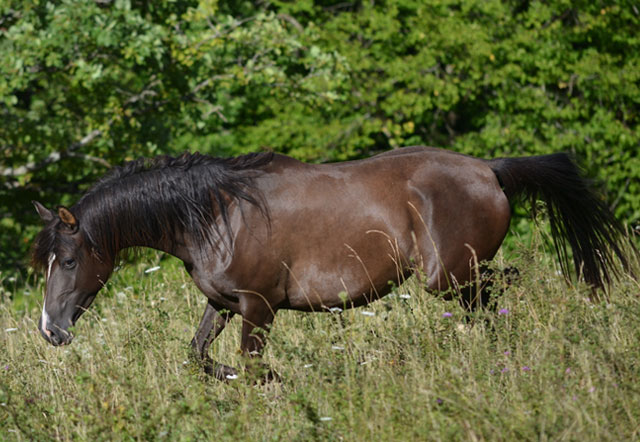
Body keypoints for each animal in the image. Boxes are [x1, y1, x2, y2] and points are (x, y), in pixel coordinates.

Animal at [30, 146, 632, 380]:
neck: (219, 216)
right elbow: (198, 356)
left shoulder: (259, 307)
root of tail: (490, 169)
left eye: (68, 260)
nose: (49, 331)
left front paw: (273, 382)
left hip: (451, 276)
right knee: (493, 300)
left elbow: (250, 366)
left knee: (502, 291)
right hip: (456, 280)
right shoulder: (221, 304)